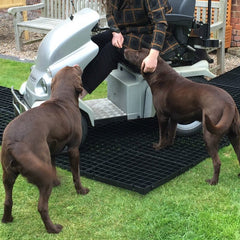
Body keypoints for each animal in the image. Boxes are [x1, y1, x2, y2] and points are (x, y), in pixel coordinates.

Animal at [0, 64, 89, 233]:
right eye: (74, 69)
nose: (77, 65)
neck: (63, 99)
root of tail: (14, 143)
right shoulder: (74, 149)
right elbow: (76, 174)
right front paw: (81, 191)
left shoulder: (51, 150)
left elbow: (54, 167)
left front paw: (57, 182)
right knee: (42, 207)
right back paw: (53, 228)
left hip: (8, 175)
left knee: (7, 201)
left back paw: (7, 220)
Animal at [124, 47, 239, 186]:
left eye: (137, 53)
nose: (124, 49)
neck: (159, 76)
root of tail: (229, 103)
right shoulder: (173, 118)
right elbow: (171, 133)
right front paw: (168, 145)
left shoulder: (162, 116)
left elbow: (162, 134)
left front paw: (159, 146)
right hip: (234, 135)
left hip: (209, 134)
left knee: (217, 162)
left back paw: (213, 181)